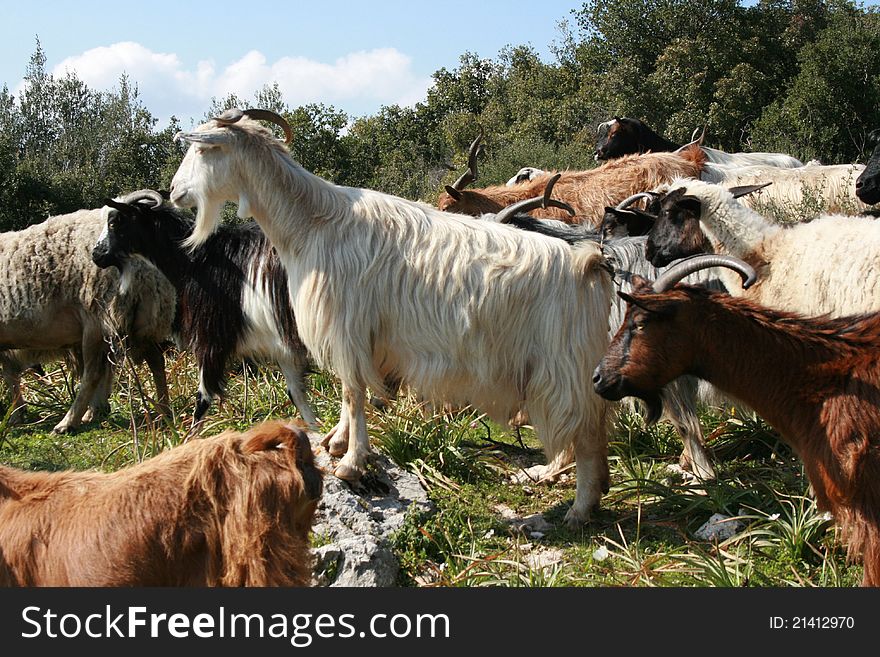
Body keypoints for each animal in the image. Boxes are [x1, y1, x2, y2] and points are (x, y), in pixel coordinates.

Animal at [92, 192, 320, 428]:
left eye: (114, 222)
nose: (96, 255)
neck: (197, 261)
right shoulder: (280, 344)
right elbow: (296, 393)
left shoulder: (210, 338)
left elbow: (203, 399)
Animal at [168, 110, 616, 524]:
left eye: (204, 149)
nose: (173, 191)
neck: (313, 223)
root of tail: (588, 264)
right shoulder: (354, 335)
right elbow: (349, 391)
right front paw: (336, 443)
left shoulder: (347, 325)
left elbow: (353, 391)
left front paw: (351, 462)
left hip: (562, 369)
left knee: (586, 435)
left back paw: (579, 508)